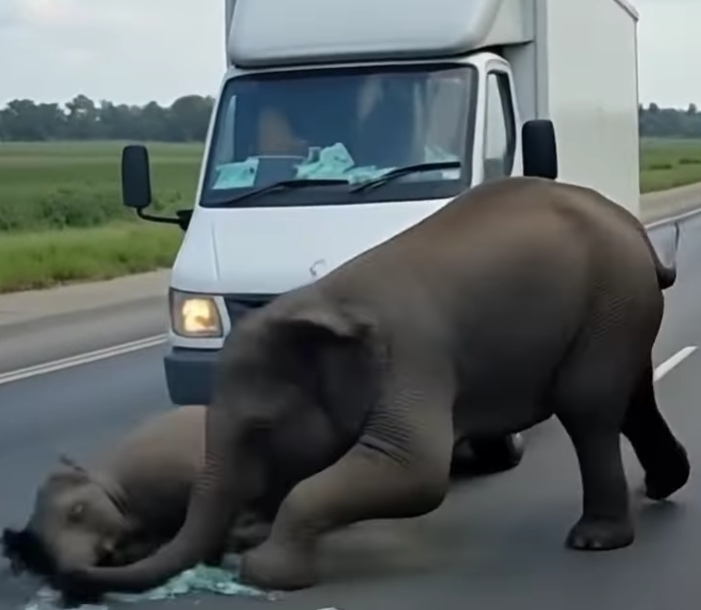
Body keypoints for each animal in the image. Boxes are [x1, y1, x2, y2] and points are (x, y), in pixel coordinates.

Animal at [58, 176, 690, 597]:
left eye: (262, 427)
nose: (88, 561)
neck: (325, 299)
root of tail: (637, 231)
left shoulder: (414, 360)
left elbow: (415, 471)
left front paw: (263, 571)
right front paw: (252, 541)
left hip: (612, 300)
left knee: (587, 409)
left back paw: (595, 540)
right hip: (621, 309)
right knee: (631, 398)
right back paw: (664, 485)